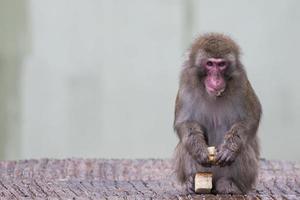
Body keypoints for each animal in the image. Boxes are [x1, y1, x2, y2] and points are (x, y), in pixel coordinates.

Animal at [172, 32, 262, 194]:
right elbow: (184, 123)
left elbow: (251, 118)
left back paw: (229, 184)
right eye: (209, 64)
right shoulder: (186, 83)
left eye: (221, 64)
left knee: (244, 148)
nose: (216, 79)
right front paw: (198, 149)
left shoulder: (241, 83)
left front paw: (230, 149)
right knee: (184, 144)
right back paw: (191, 181)